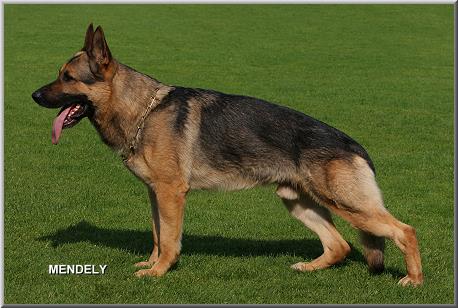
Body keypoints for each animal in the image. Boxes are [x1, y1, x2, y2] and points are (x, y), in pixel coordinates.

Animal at [32, 24, 424, 286]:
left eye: (67, 77)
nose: (34, 95)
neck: (142, 110)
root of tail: (354, 144)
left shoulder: (171, 194)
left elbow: (170, 239)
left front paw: (160, 271)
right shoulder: (155, 194)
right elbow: (157, 235)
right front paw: (151, 264)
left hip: (348, 205)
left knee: (404, 230)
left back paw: (414, 280)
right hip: (298, 202)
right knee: (340, 245)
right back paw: (309, 268)